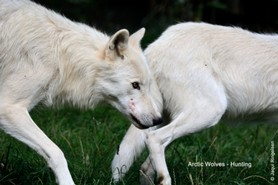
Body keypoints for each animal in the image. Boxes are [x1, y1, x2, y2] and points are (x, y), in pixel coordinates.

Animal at [0, 0, 163, 185]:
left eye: (148, 85)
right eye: (135, 85)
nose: (158, 119)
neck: (61, 58)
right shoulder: (8, 107)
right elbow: (57, 153)